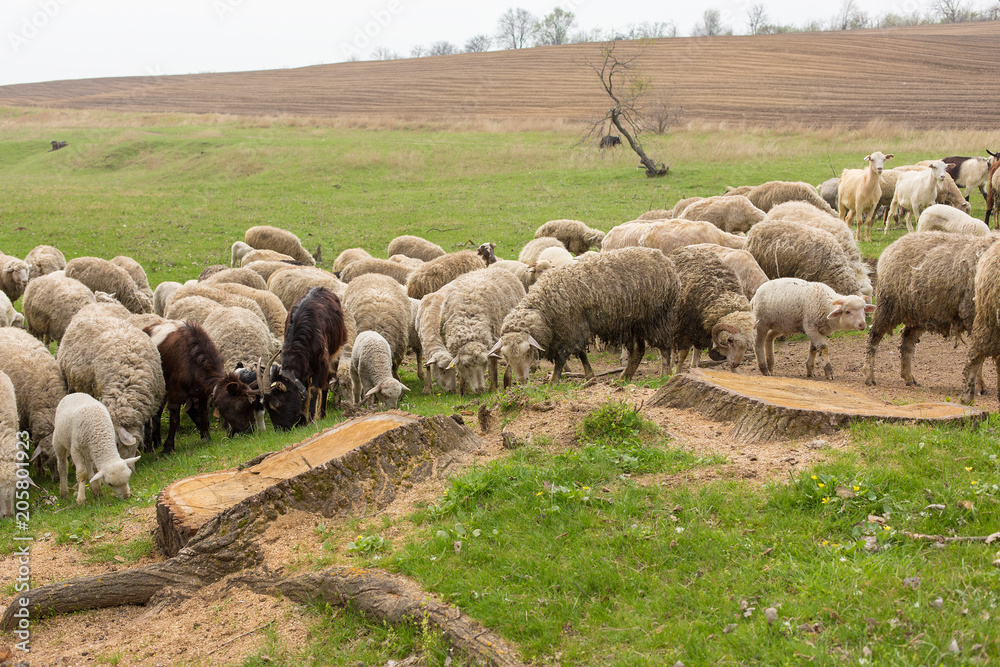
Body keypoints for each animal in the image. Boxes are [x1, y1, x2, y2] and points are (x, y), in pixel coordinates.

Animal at [492, 247, 680, 385]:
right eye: (506, 356)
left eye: (527, 352)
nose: (522, 381)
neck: (544, 308)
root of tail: (666, 262)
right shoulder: (575, 329)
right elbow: (582, 353)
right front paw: (590, 376)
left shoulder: (570, 330)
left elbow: (561, 359)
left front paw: (553, 382)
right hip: (633, 322)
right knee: (638, 350)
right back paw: (623, 378)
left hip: (657, 317)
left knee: (664, 348)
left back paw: (665, 375)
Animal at [668, 245, 756, 373]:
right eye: (730, 341)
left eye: (746, 345)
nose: (736, 363)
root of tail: (682, 248)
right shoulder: (684, 330)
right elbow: (683, 355)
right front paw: (677, 372)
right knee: (673, 348)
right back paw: (669, 369)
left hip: (697, 330)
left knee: (696, 350)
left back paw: (694, 367)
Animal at [863, 231, 1000, 388]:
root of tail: (894, 244)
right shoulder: (979, 319)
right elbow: (980, 357)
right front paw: (979, 386)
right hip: (889, 305)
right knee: (874, 336)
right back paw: (869, 375)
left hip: (919, 313)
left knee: (907, 339)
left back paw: (908, 377)